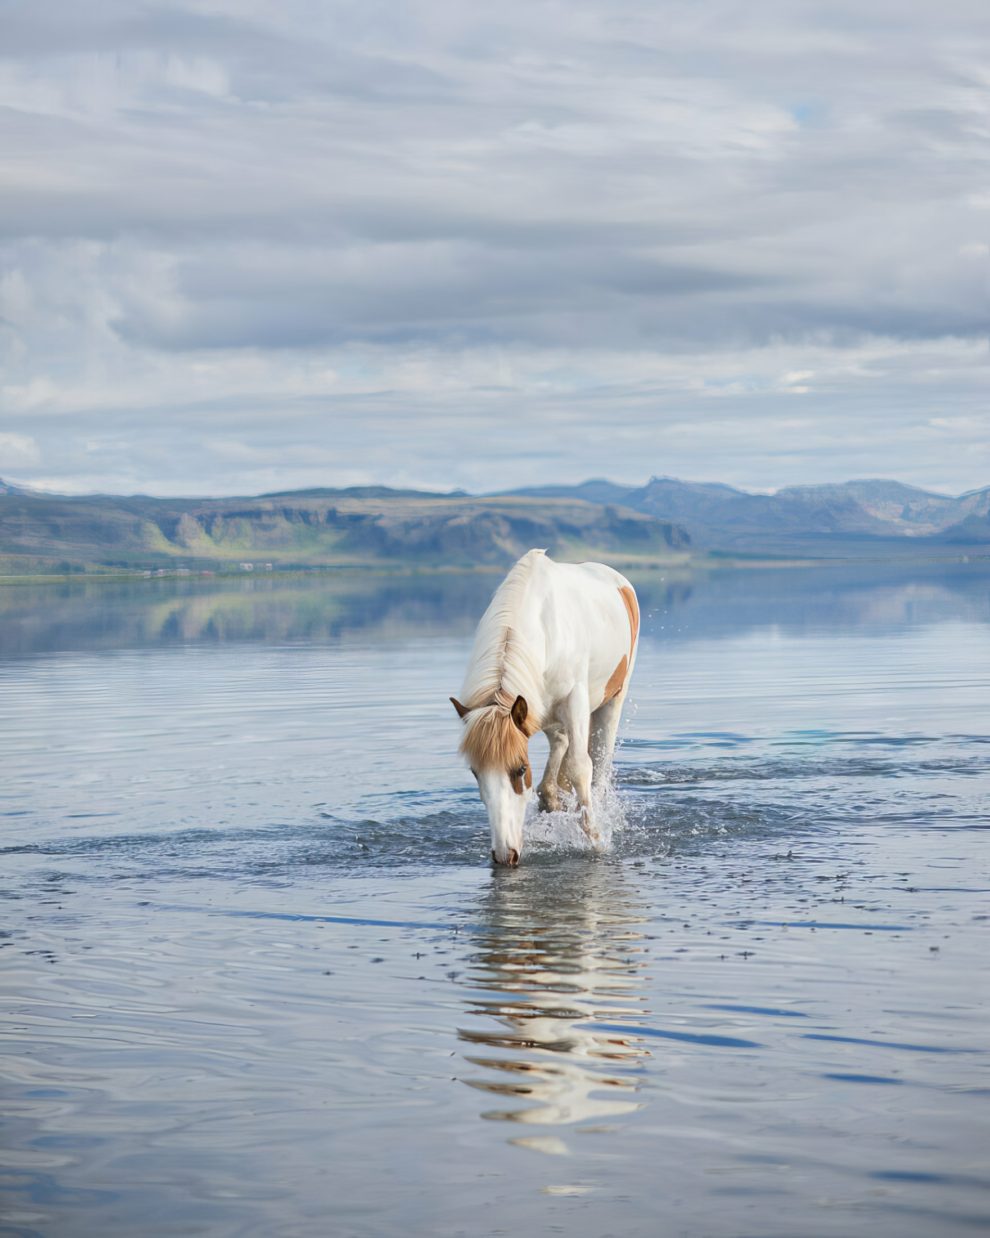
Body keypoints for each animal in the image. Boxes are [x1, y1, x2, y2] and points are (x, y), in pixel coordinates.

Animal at [450, 547, 643, 866]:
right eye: (476, 773)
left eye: (520, 769)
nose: (504, 854)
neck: (541, 628)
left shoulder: (575, 701)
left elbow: (580, 767)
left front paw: (596, 840)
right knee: (559, 750)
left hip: (613, 699)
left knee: (599, 765)